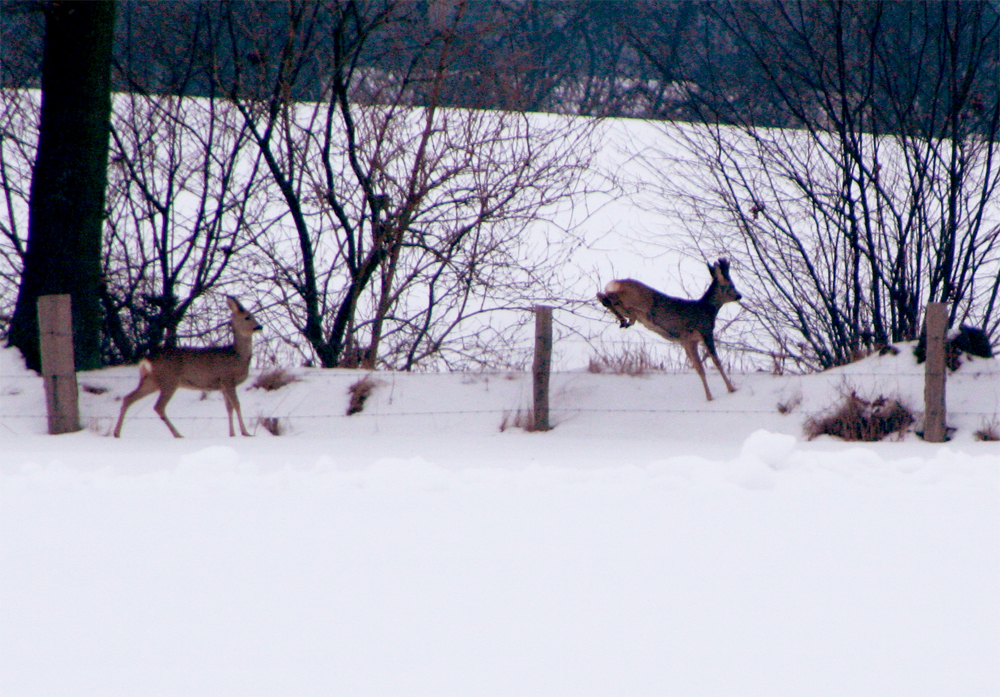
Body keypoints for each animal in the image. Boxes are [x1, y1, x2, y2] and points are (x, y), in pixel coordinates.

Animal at [113, 296, 264, 438]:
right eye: (247, 317)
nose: (260, 327)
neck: (238, 356)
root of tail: (147, 360)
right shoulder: (227, 378)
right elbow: (237, 405)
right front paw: (245, 433)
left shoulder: (223, 384)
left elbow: (229, 408)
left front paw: (232, 434)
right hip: (169, 380)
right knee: (158, 406)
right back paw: (178, 434)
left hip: (151, 380)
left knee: (128, 398)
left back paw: (116, 433)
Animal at [592, 256, 744, 400]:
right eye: (731, 285)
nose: (739, 295)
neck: (708, 310)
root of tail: (614, 283)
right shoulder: (705, 331)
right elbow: (716, 362)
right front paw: (730, 389)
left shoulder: (687, 341)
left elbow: (699, 368)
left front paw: (709, 396)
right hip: (631, 298)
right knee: (608, 297)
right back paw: (626, 317)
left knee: (602, 296)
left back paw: (625, 320)